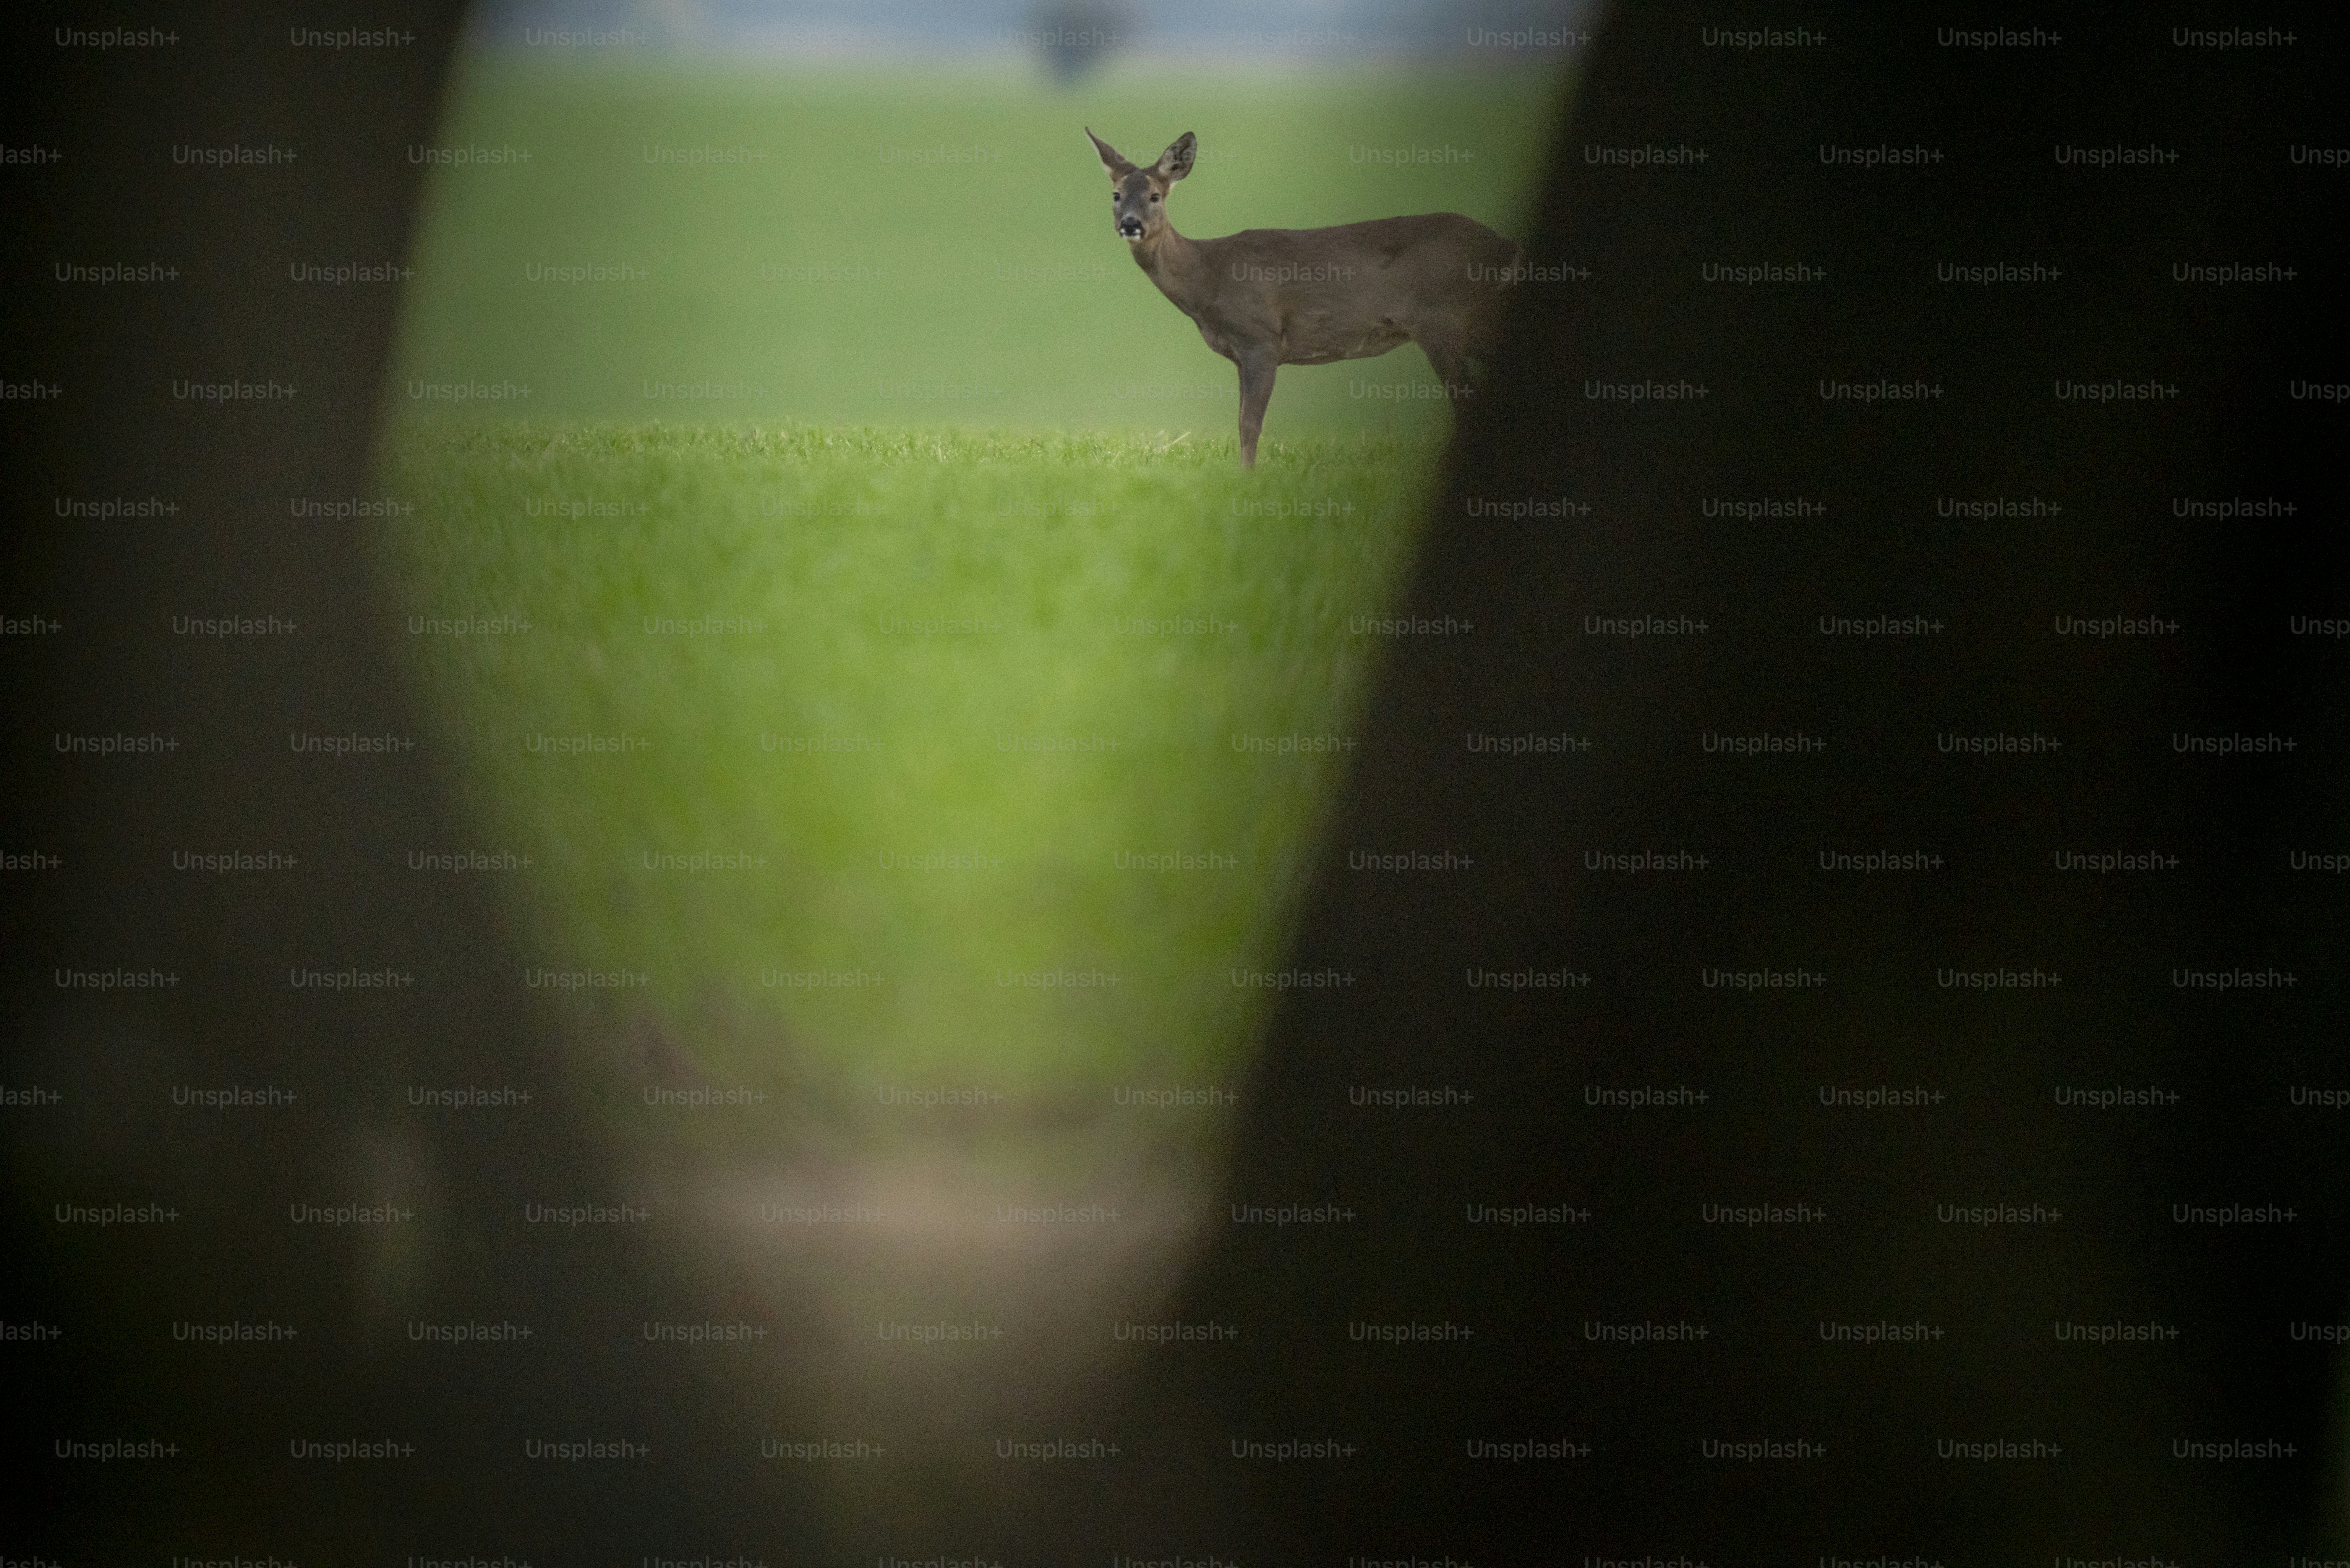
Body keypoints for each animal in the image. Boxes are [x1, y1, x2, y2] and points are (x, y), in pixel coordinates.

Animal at [1085, 128, 1521, 467]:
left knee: (1467, 403)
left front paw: (1246, 479)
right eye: (1116, 194)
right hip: (1472, 323)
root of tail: (1504, 247)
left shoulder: (1262, 338)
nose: (1131, 225)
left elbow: (1250, 424)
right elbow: (1241, 421)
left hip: (1442, 319)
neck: (1208, 278)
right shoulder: (1240, 352)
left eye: (1155, 196)